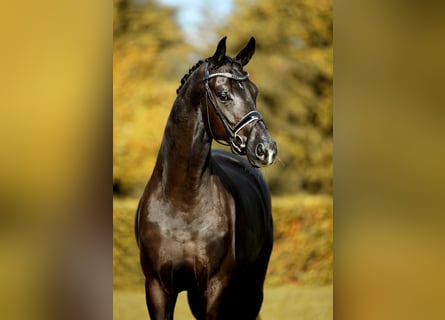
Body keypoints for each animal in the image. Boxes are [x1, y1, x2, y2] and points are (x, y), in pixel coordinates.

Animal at [134, 36, 278, 318]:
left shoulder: (216, 287)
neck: (181, 201)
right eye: (223, 94)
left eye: (254, 92)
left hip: (253, 287)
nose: (266, 149)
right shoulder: (157, 288)